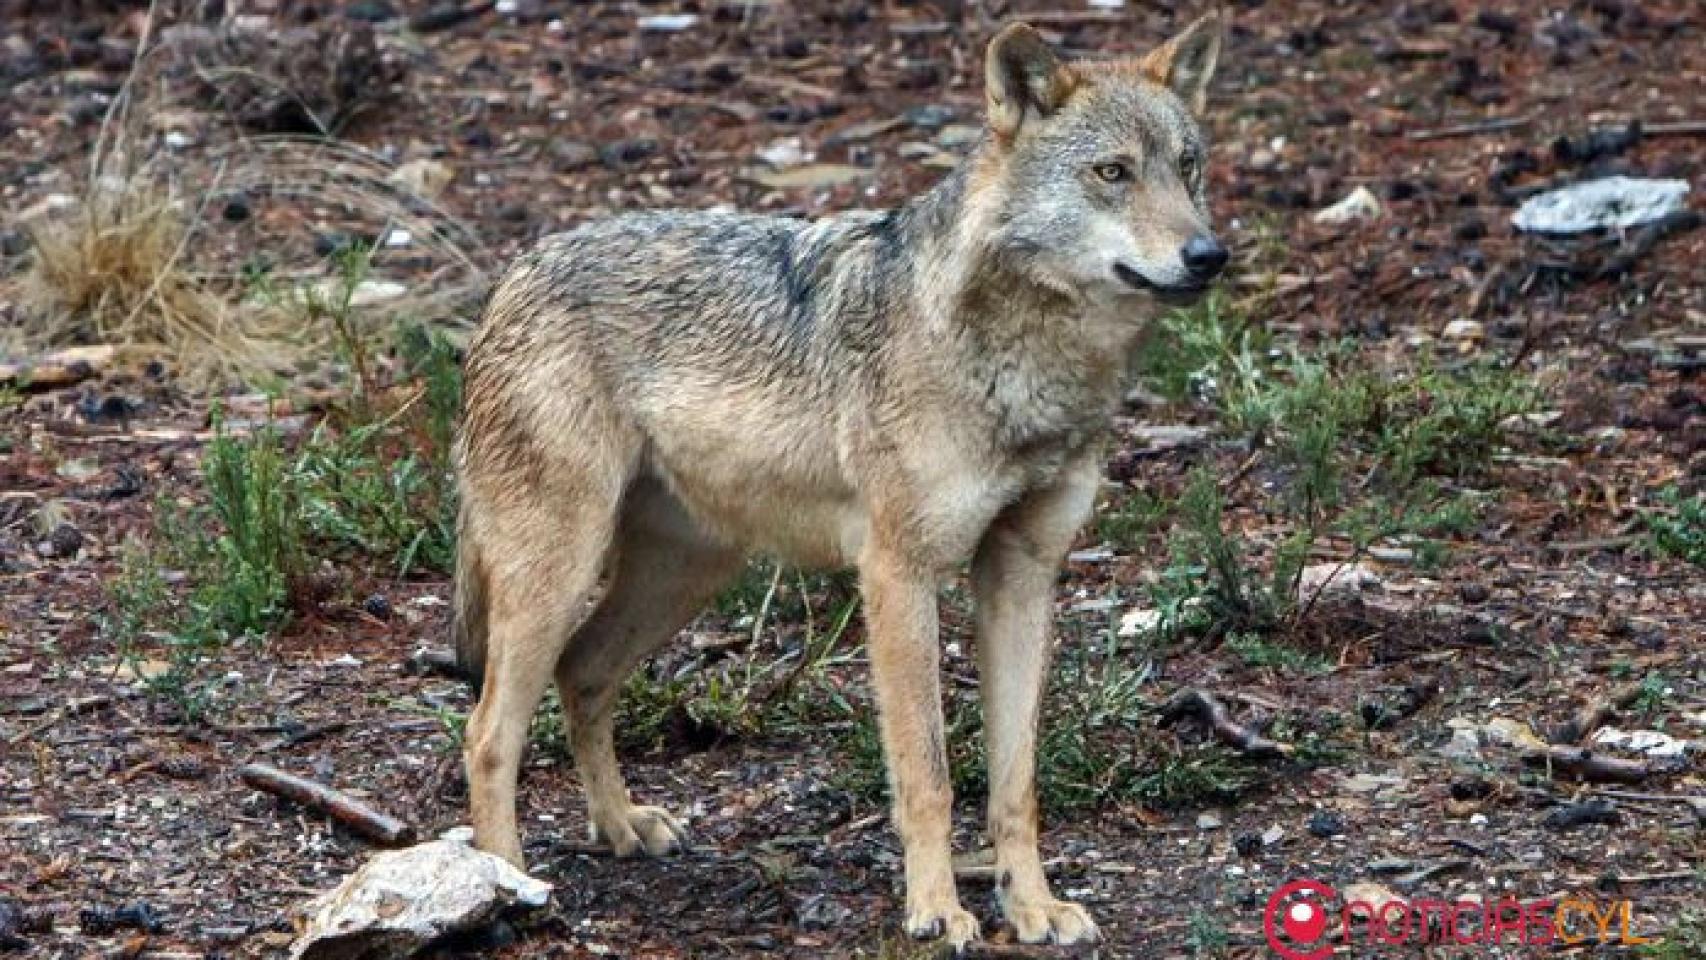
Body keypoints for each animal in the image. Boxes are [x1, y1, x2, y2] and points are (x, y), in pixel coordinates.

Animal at [451, 13, 1226, 948]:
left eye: (1188, 166)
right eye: (1113, 173)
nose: (1208, 254)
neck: (1024, 367)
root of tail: (513, 274)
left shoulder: (1024, 574)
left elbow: (1015, 781)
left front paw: (1031, 906)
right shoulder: (897, 574)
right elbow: (928, 773)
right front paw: (937, 911)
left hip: (685, 574)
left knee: (583, 674)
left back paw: (621, 826)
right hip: (559, 574)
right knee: (487, 732)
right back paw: (506, 886)